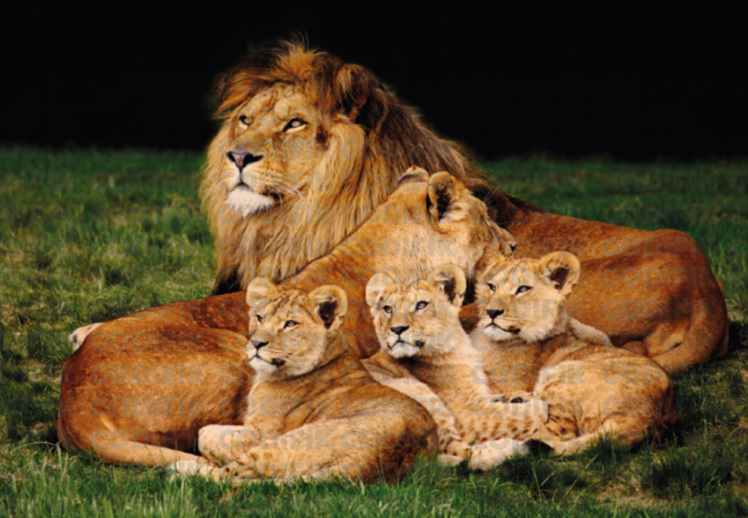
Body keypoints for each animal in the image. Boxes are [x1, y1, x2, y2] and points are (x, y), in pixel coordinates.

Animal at [169, 279, 437, 484]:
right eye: (259, 317)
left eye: (290, 324)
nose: (256, 343)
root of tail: (369, 463)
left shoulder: (261, 434)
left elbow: (205, 434)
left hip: (290, 440)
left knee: (234, 476)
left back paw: (177, 471)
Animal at [363, 264, 548, 471]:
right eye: (388, 309)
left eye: (421, 305)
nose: (397, 329)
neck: (458, 347)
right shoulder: (469, 415)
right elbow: (533, 412)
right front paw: (532, 404)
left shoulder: (478, 395)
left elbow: (497, 397)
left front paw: (517, 397)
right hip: (416, 391)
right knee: (460, 453)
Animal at [470, 250, 677, 454]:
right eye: (492, 287)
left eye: (522, 289)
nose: (491, 312)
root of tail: (647, 417)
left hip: (559, 377)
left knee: (550, 433)